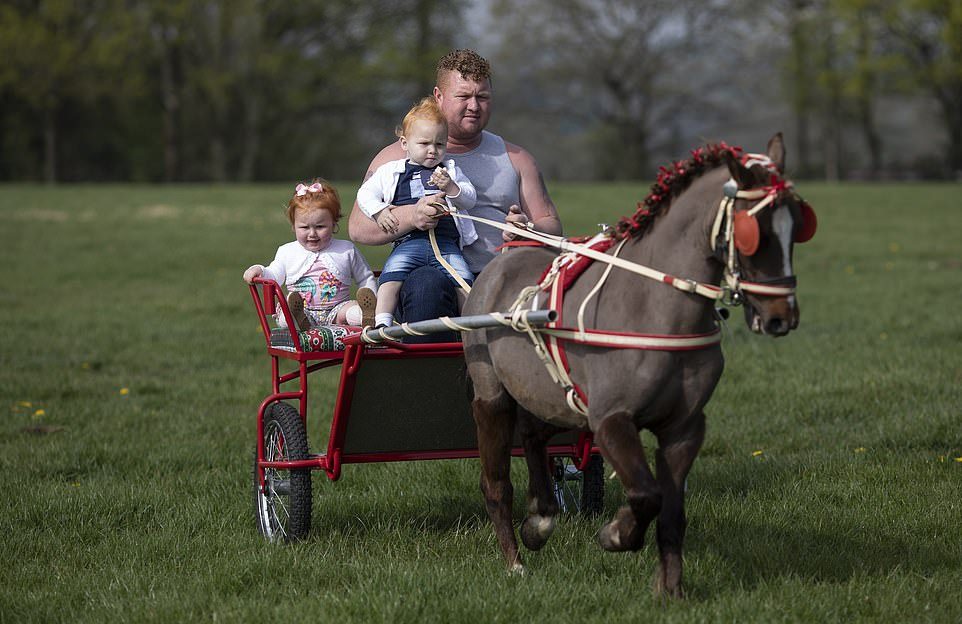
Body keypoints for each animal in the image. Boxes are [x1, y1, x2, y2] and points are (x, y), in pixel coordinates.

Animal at [462, 134, 812, 596]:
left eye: (798, 225)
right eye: (756, 232)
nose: (780, 317)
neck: (654, 307)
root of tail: (501, 259)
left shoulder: (683, 428)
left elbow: (672, 512)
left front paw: (670, 590)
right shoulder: (611, 419)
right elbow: (647, 495)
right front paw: (617, 534)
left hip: (558, 400)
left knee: (534, 435)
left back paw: (540, 517)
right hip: (493, 397)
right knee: (496, 481)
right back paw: (514, 560)